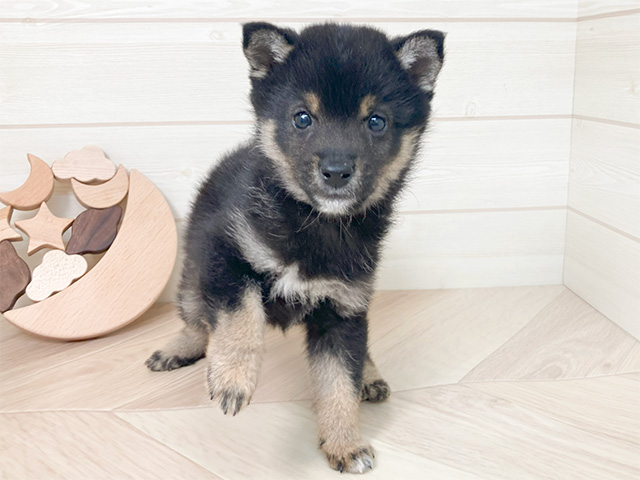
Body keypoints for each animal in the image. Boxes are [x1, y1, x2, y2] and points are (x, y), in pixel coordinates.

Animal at [147, 22, 442, 472]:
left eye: (376, 121)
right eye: (302, 118)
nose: (336, 172)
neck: (315, 222)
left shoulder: (343, 308)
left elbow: (338, 382)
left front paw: (344, 442)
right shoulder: (226, 257)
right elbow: (239, 319)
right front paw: (232, 378)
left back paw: (369, 374)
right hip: (193, 281)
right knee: (198, 320)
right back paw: (179, 349)